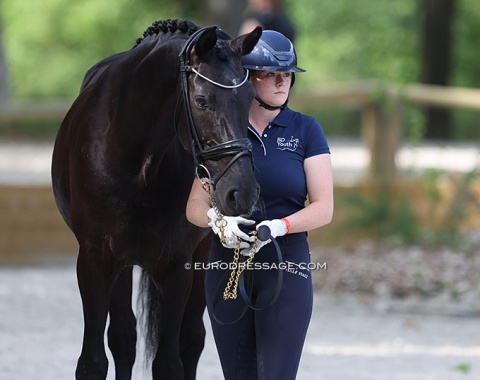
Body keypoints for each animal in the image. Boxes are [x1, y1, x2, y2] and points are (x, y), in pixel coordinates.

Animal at [52, 20, 260, 380]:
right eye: (202, 100)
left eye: (249, 98)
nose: (241, 192)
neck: (136, 164)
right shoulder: (94, 259)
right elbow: (93, 361)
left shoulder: (175, 264)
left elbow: (169, 363)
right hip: (120, 264)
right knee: (123, 337)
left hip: (198, 256)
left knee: (190, 340)